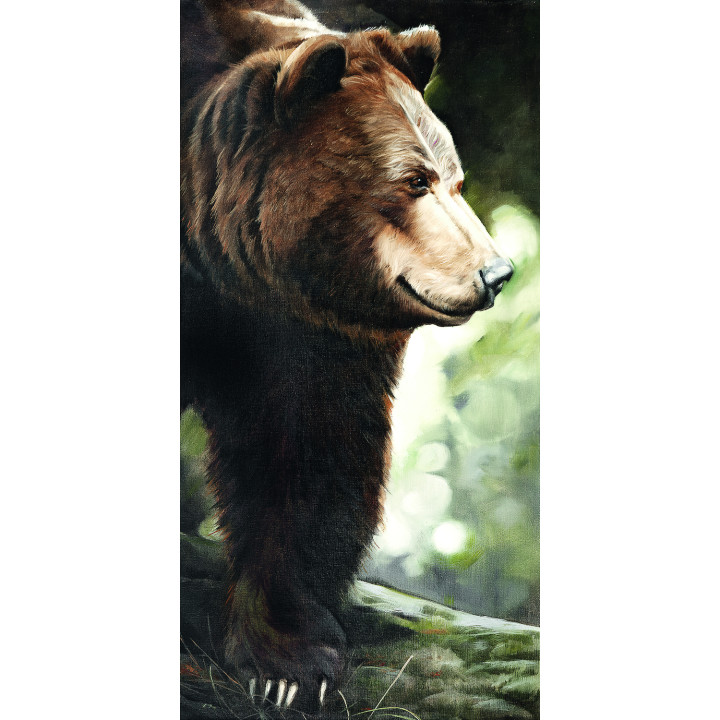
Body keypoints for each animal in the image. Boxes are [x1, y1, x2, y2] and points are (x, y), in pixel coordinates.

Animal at [181, 0, 514, 712]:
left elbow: (307, 453)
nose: (497, 272)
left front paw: (287, 663)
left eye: (457, 180)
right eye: (414, 180)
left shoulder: (303, 328)